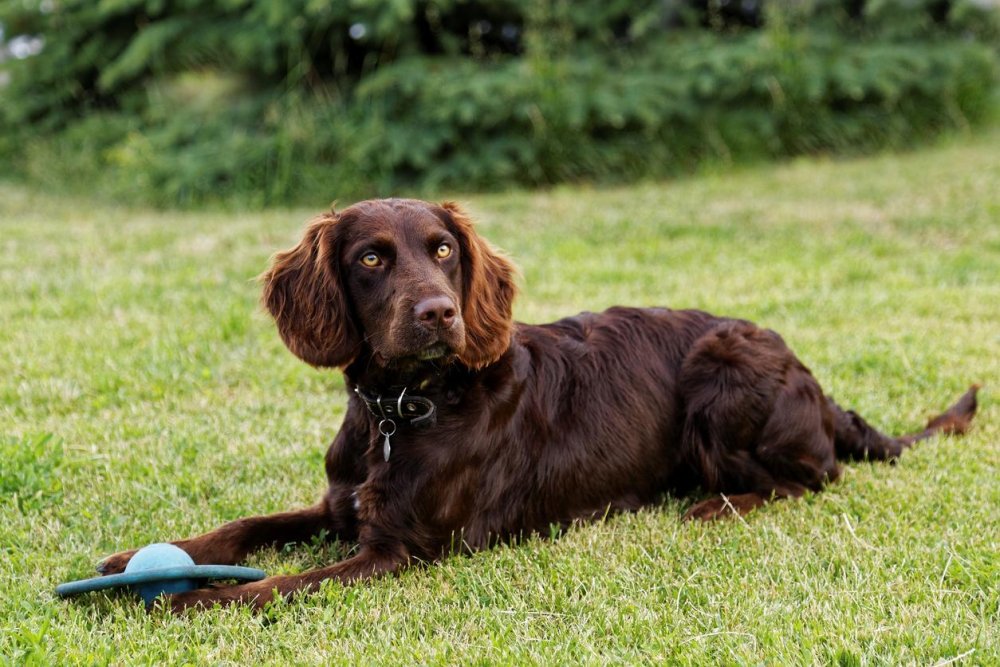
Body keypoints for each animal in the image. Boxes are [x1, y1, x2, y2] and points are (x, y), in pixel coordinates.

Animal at [99, 197, 976, 612]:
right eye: (372, 258)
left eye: (444, 251)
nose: (438, 313)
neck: (402, 409)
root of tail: (818, 384)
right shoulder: (341, 505)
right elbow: (247, 528)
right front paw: (136, 560)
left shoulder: (402, 550)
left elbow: (274, 583)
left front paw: (186, 602)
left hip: (721, 371)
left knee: (809, 477)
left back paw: (712, 506)